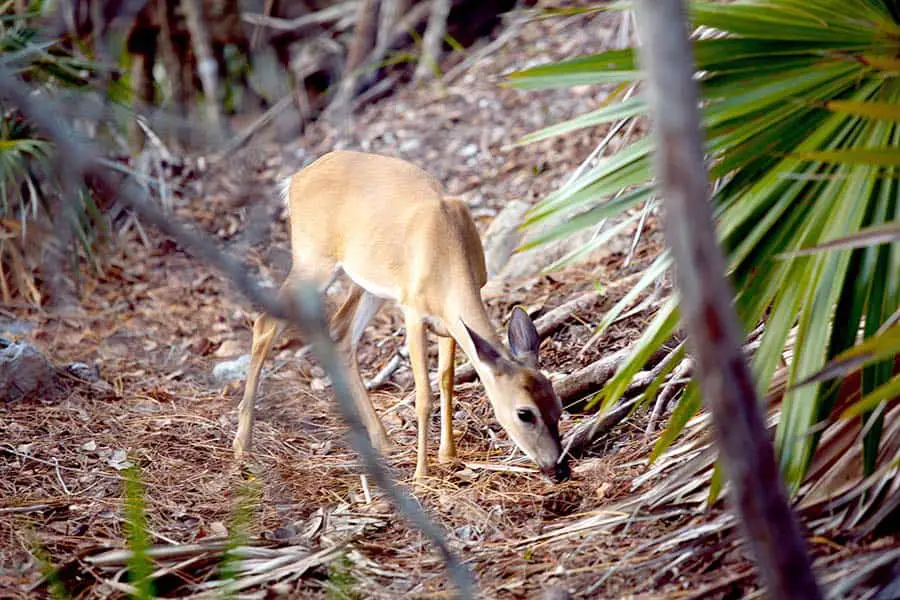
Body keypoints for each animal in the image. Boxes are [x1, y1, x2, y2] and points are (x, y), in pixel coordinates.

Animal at [234, 150, 568, 482]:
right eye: (525, 413)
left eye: (558, 404)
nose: (559, 469)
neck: (446, 254)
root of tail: (294, 180)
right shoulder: (413, 311)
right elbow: (423, 395)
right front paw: (421, 474)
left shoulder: (449, 320)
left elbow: (446, 380)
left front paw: (448, 455)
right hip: (313, 260)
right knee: (265, 323)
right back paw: (242, 445)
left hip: (367, 283)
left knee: (341, 332)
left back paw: (382, 440)